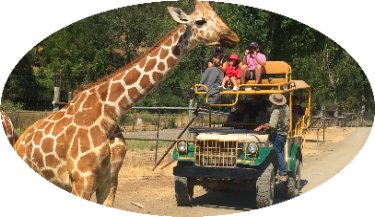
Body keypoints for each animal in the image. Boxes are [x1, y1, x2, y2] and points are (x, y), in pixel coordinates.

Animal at [13, 0, 239, 207]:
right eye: (200, 21)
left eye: (217, 15)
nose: (233, 37)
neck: (110, 113)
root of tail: (18, 141)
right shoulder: (82, 179)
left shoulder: (110, 181)